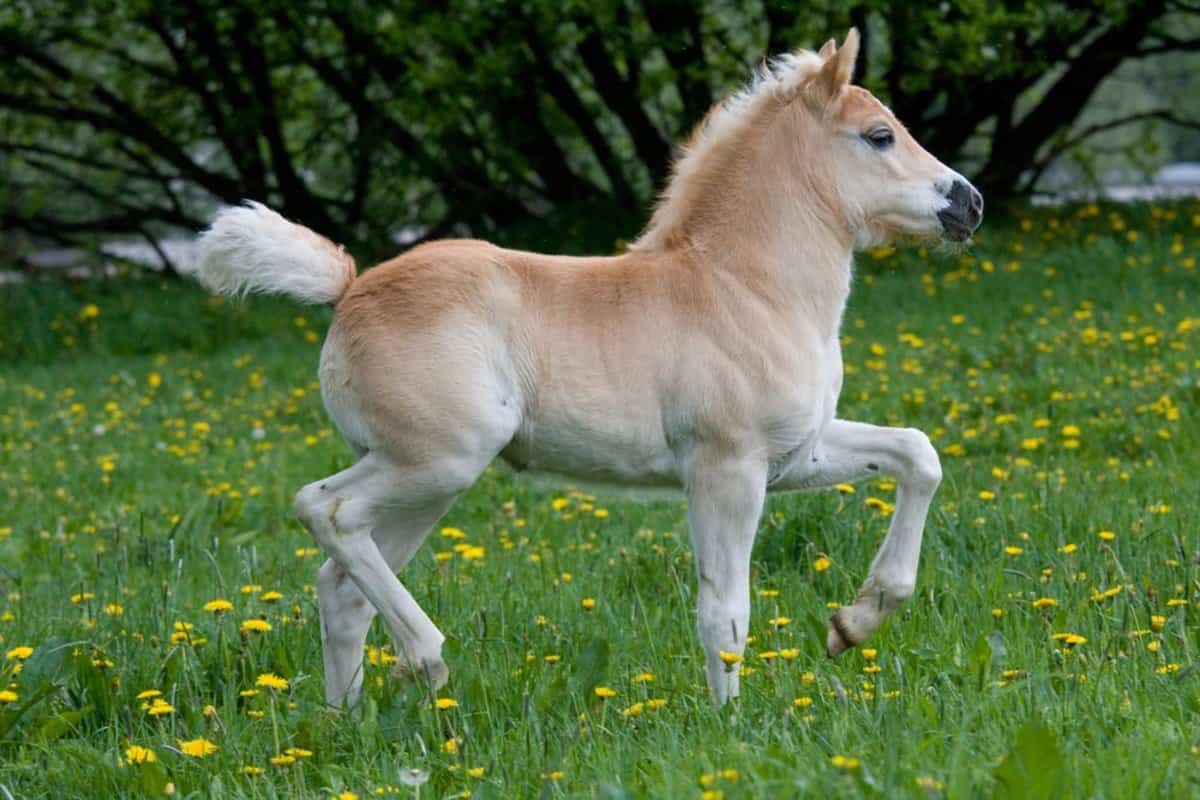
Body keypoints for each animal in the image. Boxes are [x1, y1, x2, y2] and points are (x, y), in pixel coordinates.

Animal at [194, 29, 982, 707]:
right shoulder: (727, 468)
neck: (745, 287)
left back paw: (347, 723)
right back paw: (426, 658)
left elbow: (918, 455)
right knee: (323, 509)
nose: (969, 203)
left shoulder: (796, 456)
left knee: (341, 584)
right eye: (879, 136)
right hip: (436, 461)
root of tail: (350, 288)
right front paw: (728, 726)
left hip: (424, 484)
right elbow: (724, 611)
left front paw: (854, 623)